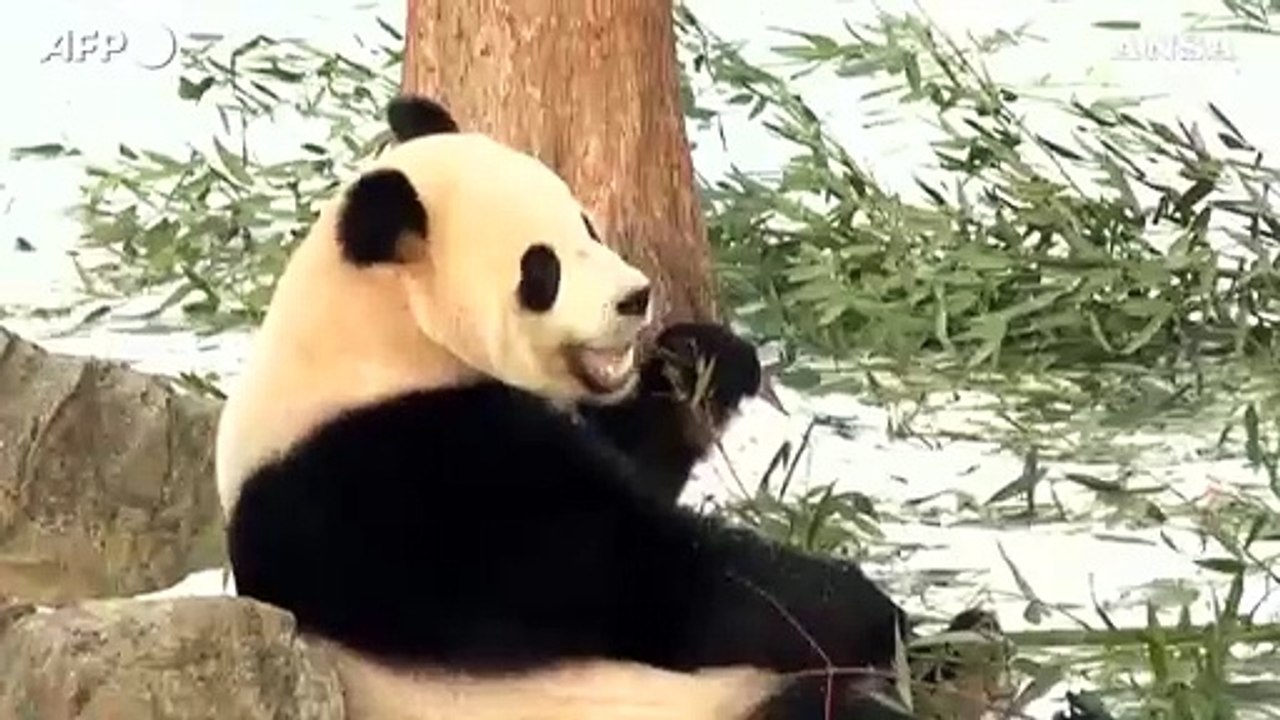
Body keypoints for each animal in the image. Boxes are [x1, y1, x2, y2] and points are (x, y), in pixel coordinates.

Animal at [214, 93, 916, 720]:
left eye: (586, 224)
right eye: (541, 268)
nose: (635, 297)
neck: (377, 336)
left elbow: (635, 463)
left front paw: (705, 359)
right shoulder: (401, 475)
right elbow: (629, 573)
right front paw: (866, 609)